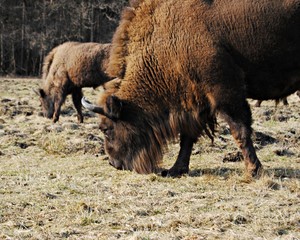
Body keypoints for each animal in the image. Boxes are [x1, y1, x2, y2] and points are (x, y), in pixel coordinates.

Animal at [82, 0, 300, 176]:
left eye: (106, 129)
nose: (114, 163)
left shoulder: (224, 92)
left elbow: (240, 130)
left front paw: (254, 170)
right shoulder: (197, 99)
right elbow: (187, 136)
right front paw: (175, 170)